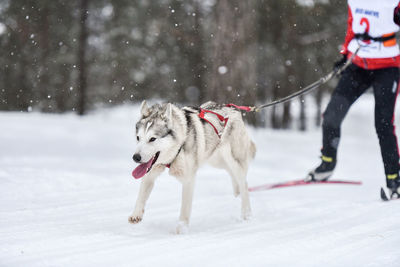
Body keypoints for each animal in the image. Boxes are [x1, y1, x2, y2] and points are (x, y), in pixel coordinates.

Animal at [130, 101, 256, 234]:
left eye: (152, 139)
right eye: (138, 138)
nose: (136, 157)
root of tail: (234, 108)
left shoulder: (188, 179)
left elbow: (185, 208)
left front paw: (182, 229)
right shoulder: (150, 172)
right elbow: (141, 195)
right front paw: (136, 214)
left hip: (234, 160)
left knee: (244, 183)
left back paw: (246, 214)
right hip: (216, 160)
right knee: (231, 174)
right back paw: (236, 195)